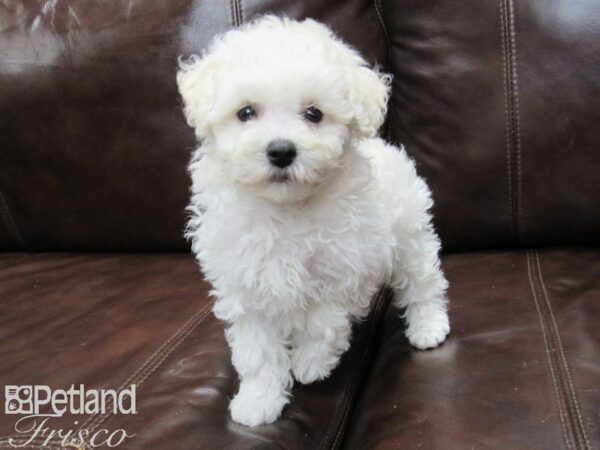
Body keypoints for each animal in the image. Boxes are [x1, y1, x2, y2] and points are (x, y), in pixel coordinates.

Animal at [178, 16, 450, 426]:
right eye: (245, 112)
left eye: (314, 114)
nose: (281, 151)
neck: (288, 209)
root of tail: (386, 145)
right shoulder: (247, 285)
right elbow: (258, 351)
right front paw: (258, 400)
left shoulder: (345, 267)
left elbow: (323, 322)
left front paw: (310, 364)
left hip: (410, 235)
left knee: (423, 282)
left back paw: (428, 326)